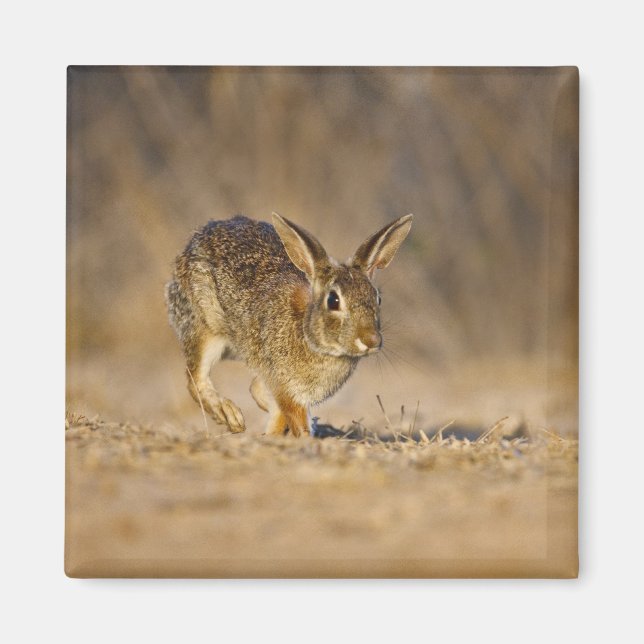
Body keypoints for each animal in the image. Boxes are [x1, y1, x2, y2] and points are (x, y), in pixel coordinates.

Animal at [165, 212, 413, 437]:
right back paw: (230, 415)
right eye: (333, 300)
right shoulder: (285, 387)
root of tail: (196, 239)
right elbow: (294, 419)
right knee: (196, 379)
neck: (310, 336)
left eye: (377, 298)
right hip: (205, 328)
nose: (371, 340)